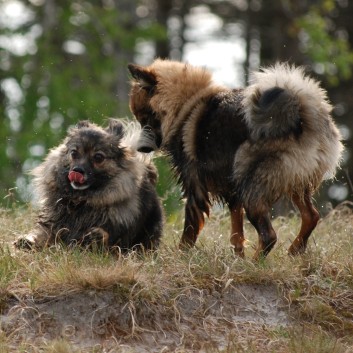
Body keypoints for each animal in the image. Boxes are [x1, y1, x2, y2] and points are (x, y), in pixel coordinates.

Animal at [13, 118, 162, 250]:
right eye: (74, 153)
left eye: (98, 157)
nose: (77, 171)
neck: (81, 201)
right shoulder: (53, 225)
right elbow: (43, 234)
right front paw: (27, 241)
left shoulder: (118, 240)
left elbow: (106, 237)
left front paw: (97, 235)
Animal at [128, 59, 342, 258]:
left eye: (144, 119)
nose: (139, 148)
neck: (185, 104)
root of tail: (304, 115)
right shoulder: (232, 191)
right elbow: (236, 232)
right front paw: (237, 258)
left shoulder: (195, 187)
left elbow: (189, 231)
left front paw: (180, 256)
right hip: (294, 182)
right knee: (311, 216)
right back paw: (294, 250)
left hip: (253, 187)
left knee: (269, 235)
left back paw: (256, 264)